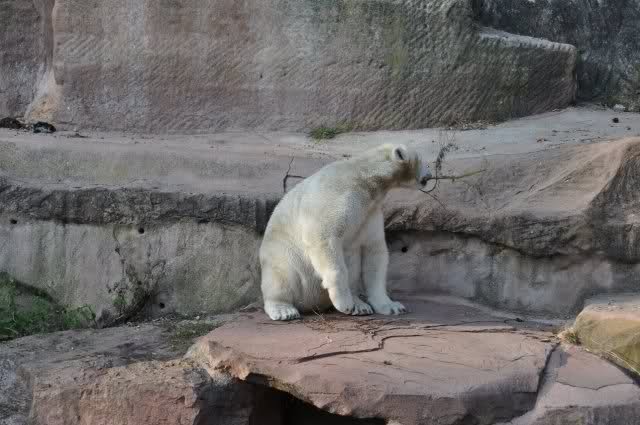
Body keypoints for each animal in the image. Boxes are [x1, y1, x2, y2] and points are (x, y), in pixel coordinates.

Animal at [259, 143, 432, 321]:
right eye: (421, 159)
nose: (430, 175)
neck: (365, 181)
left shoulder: (369, 212)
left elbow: (374, 252)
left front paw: (392, 306)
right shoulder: (337, 198)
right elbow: (324, 237)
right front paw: (344, 304)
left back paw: (360, 305)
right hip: (283, 253)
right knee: (283, 276)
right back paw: (284, 310)